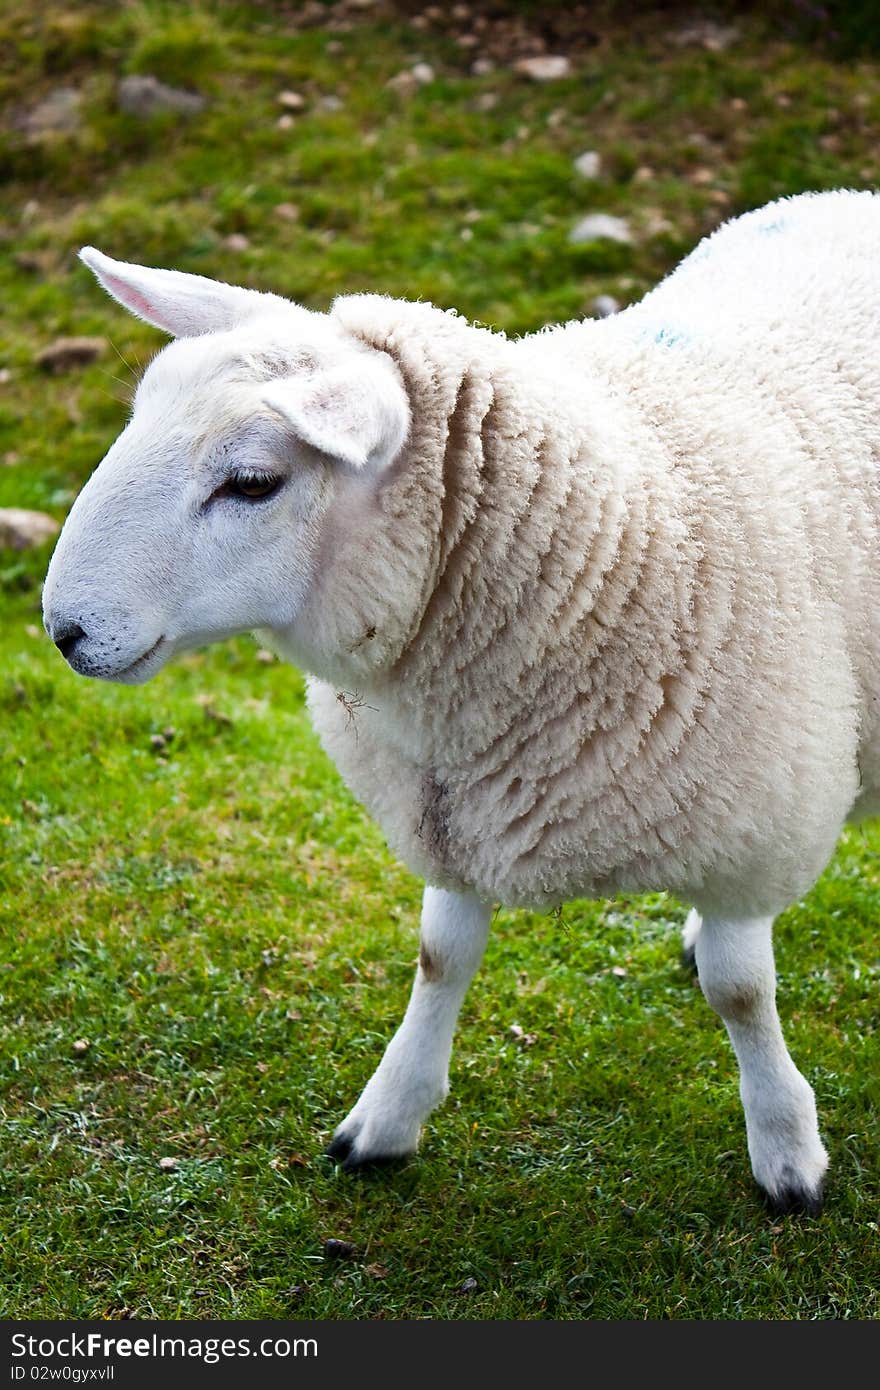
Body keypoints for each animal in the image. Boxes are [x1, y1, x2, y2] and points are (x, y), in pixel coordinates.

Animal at [42, 193, 878, 1217]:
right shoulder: (453, 807)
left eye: (252, 483)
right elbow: (440, 956)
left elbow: (742, 995)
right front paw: (387, 1118)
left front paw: (787, 1153)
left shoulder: (754, 821)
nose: (65, 630)